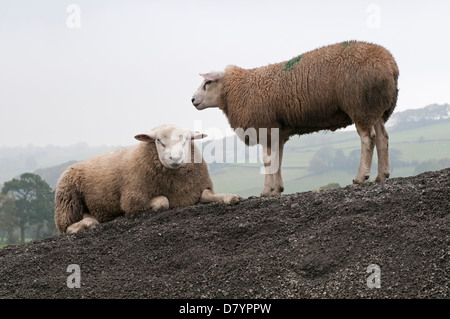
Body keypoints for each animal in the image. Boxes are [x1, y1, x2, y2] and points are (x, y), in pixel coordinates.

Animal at [53, 124, 243, 234]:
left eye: (186, 139)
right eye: (159, 141)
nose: (175, 158)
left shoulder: (196, 191)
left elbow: (209, 195)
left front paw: (231, 197)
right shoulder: (133, 199)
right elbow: (163, 202)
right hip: (67, 201)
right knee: (67, 228)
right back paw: (87, 224)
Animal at [192, 40, 400, 198]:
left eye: (207, 82)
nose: (192, 100)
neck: (238, 90)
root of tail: (390, 63)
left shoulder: (265, 128)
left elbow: (268, 161)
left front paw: (266, 190)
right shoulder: (277, 132)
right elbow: (278, 159)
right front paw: (277, 189)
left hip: (360, 105)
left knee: (368, 138)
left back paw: (360, 177)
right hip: (376, 107)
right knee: (383, 138)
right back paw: (382, 175)